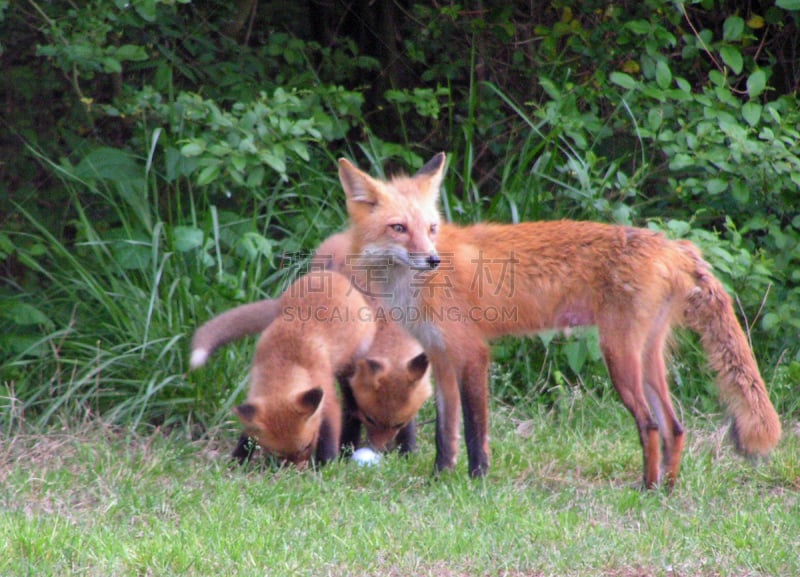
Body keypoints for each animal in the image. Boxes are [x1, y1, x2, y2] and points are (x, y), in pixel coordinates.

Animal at [338, 152, 780, 486]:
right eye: (399, 228)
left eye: (430, 228)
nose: (432, 259)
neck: (413, 287)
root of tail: (673, 245)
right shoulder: (441, 358)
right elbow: (445, 432)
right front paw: (438, 478)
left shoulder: (472, 353)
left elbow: (475, 429)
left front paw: (477, 480)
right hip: (647, 357)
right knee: (675, 426)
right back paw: (667, 490)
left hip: (618, 356)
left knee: (650, 424)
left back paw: (646, 489)